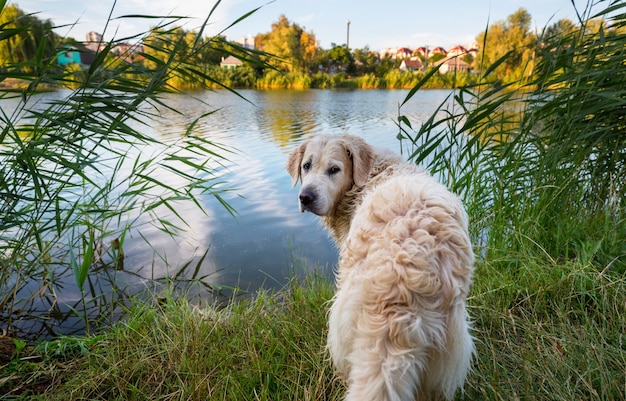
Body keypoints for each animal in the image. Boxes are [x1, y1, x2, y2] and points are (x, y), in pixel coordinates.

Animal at [286, 134, 470, 400]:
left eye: (334, 169)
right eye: (306, 166)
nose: (306, 197)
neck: (371, 173)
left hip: (341, 319)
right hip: (446, 353)